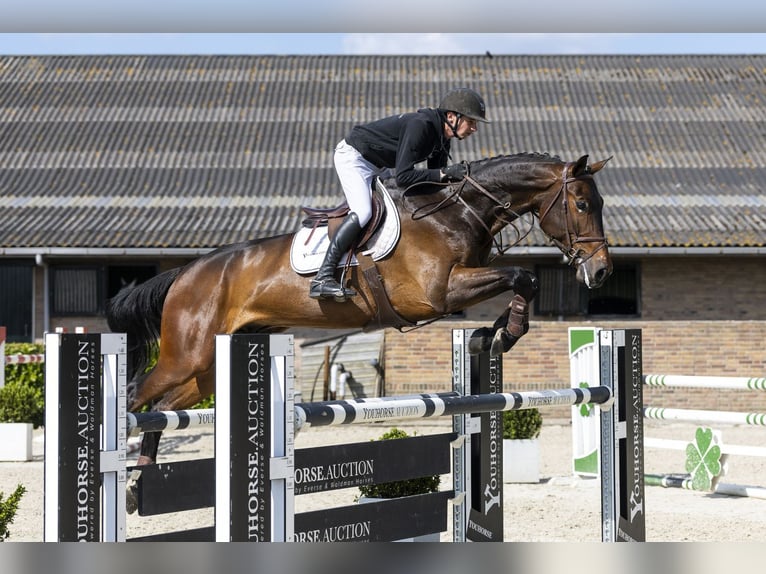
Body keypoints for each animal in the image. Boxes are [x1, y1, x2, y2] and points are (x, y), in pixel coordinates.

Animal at [107, 152, 613, 504]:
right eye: (581, 204)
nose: (602, 271)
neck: (456, 213)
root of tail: (187, 272)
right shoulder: (439, 293)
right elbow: (521, 275)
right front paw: (504, 332)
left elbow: (522, 279)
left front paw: (495, 335)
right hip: (185, 355)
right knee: (134, 397)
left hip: (211, 366)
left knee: (164, 409)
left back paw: (137, 485)